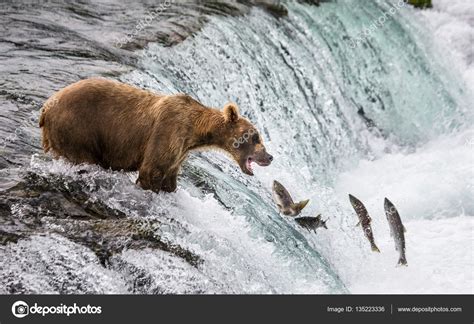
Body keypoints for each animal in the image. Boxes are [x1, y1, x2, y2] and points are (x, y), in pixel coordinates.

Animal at [39, 78, 274, 192]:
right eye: (255, 137)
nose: (269, 157)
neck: (195, 132)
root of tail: (45, 108)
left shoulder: (180, 152)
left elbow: (169, 178)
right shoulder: (167, 132)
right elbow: (151, 170)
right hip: (78, 128)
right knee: (83, 158)